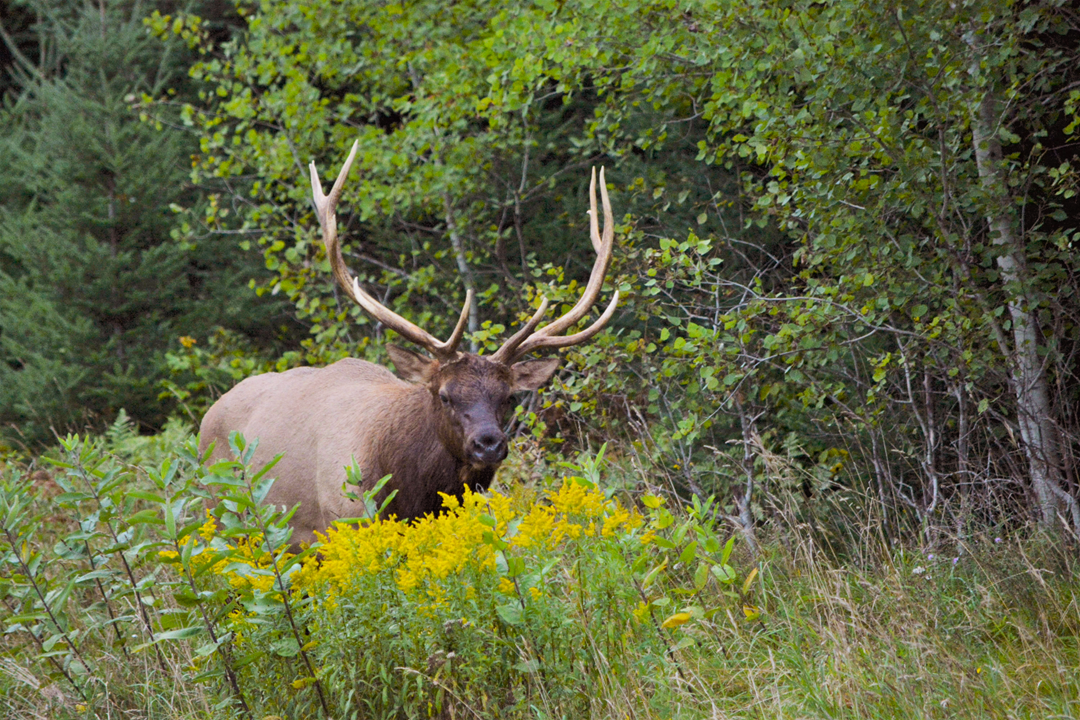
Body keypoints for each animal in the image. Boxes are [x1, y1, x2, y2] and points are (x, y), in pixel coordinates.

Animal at [201, 142, 622, 546]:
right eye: (445, 395)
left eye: (510, 397)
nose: (488, 444)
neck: (413, 492)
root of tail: (208, 415)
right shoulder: (342, 520)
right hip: (221, 516)